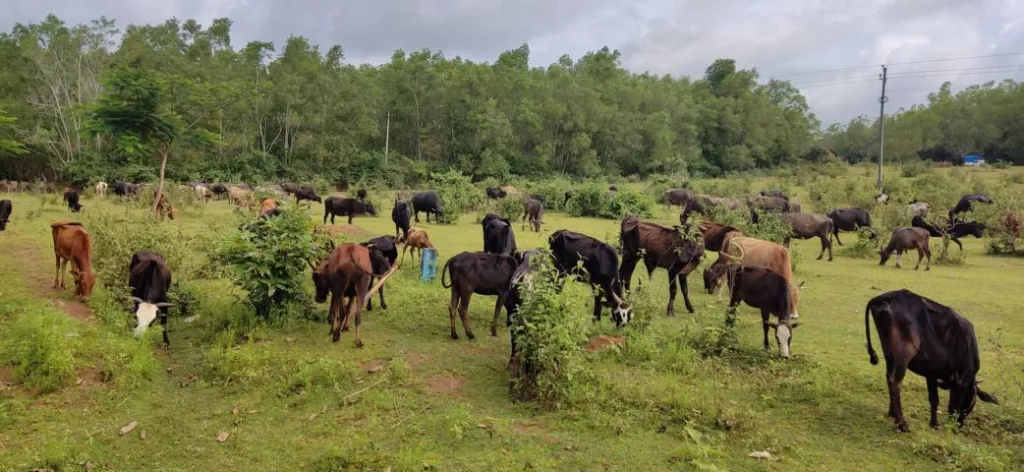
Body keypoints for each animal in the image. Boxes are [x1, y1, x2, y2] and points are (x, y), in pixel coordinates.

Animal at [864, 286, 999, 430]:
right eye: (969, 404)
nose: (958, 426)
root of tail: (886, 296)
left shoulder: (932, 372)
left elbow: (934, 399)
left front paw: (934, 423)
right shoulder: (960, 381)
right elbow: (948, 401)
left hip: (889, 352)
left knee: (889, 376)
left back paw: (892, 413)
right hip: (903, 353)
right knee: (894, 381)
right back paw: (902, 423)